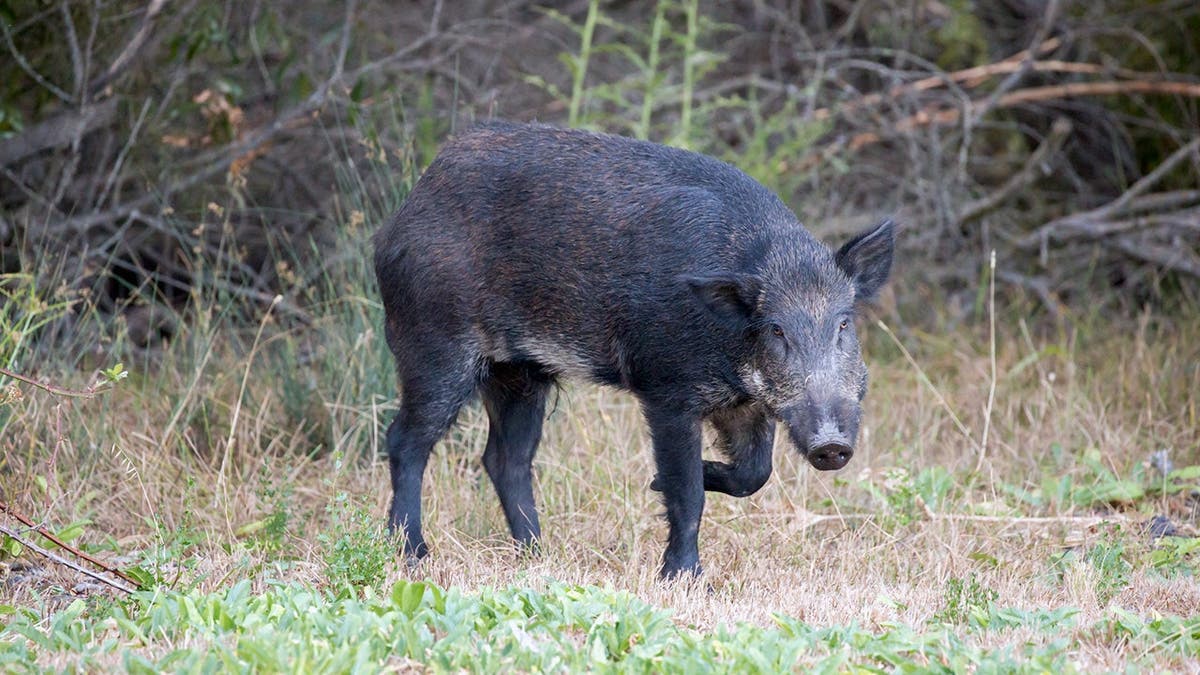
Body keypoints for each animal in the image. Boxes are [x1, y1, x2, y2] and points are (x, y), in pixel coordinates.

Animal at [373, 120, 894, 578]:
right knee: (406, 440)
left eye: (843, 323)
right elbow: (687, 492)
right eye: (776, 330)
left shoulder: (745, 405)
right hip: (435, 344)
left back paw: (539, 556)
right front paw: (682, 575)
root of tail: (401, 216)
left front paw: (657, 485)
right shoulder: (667, 391)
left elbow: (754, 474)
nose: (831, 445)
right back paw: (414, 555)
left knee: (506, 459)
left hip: (520, 372)